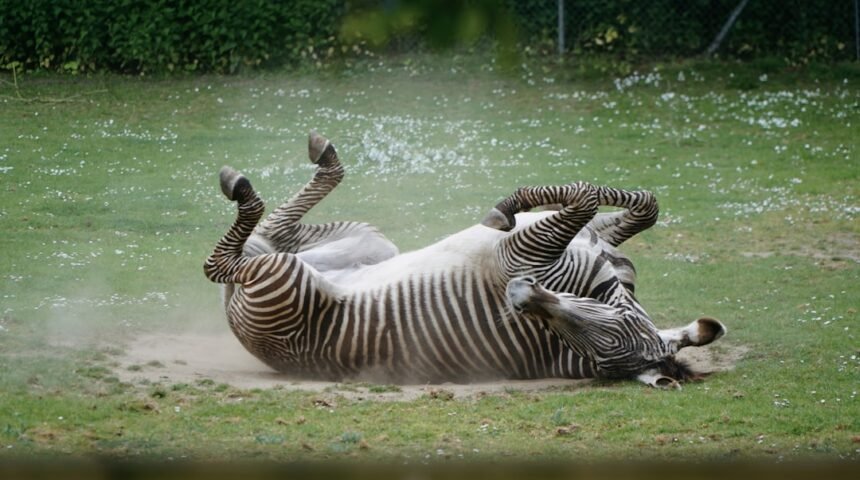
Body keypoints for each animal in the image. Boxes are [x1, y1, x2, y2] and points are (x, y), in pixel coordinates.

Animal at [204, 131, 726, 387]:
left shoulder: (520, 251)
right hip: (369, 243)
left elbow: (583, 197)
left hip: (280, 275)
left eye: (591, 343)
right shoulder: (589, 240)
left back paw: (241, 189)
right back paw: (317, 157)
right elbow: (634, 202)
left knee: (225, 261)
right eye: (601, 328)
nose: (519, 294)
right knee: (269, 234)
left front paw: (506, 207)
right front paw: (518, 203)